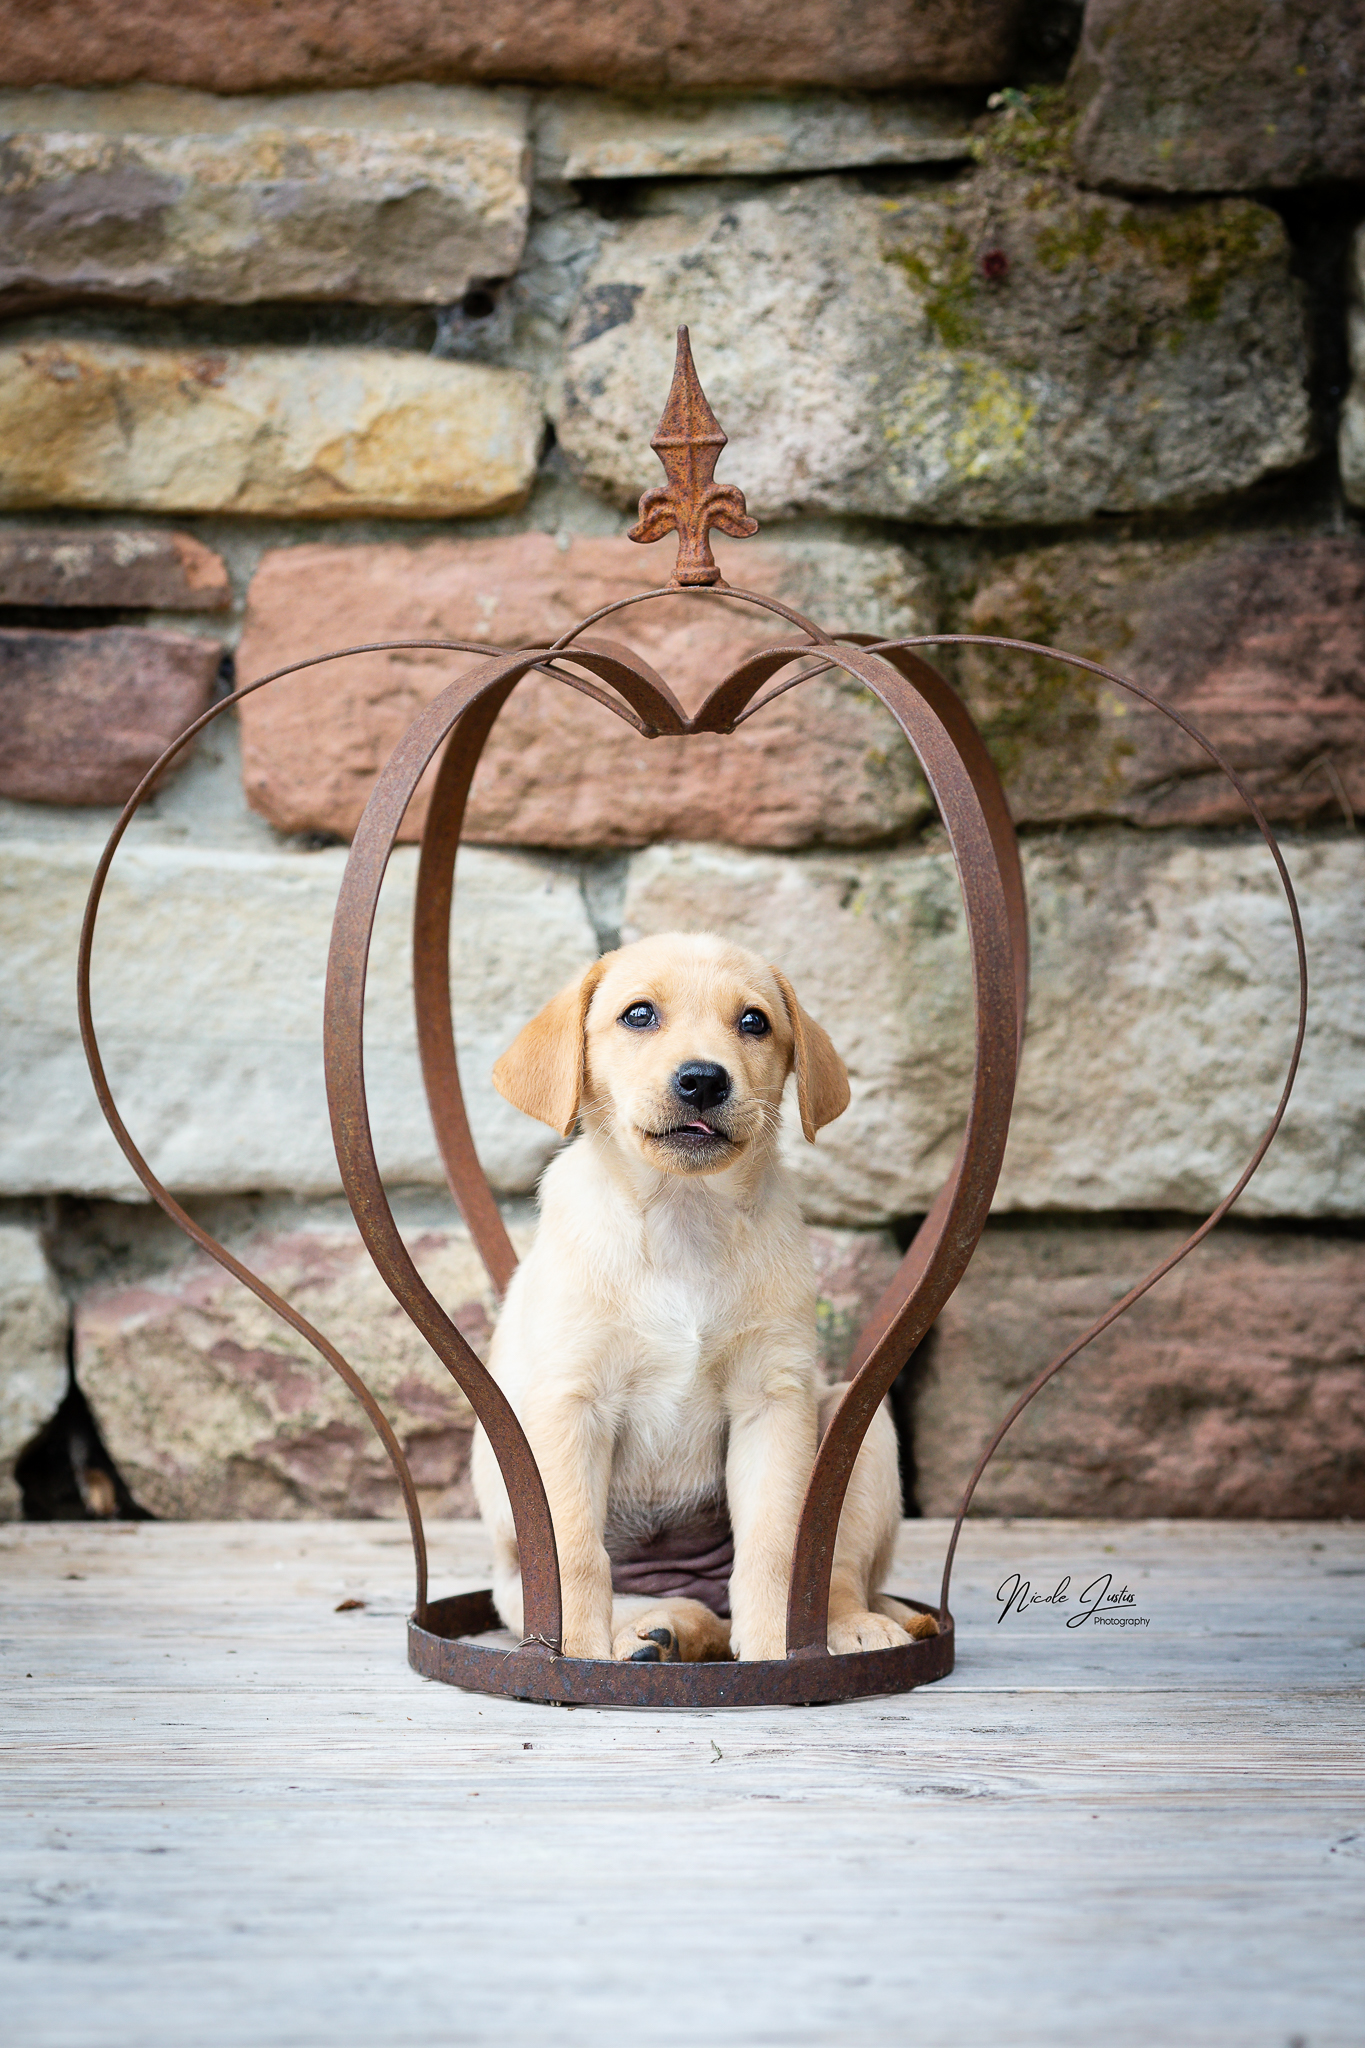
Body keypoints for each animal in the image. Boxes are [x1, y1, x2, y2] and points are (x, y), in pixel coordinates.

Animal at [469, 931, 938, 1663]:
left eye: (754, 1022)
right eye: (638, 1015)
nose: (703, 1079)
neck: (682, 1219)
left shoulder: (769, 1401)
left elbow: (777, 1546)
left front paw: (776, 1650)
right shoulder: (573, 1402)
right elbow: (574, 1554)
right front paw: (575, 1654)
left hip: (858, 1428)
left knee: (833, 1574)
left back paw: (847, 1627)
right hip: (517, 1565)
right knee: (651, 1602)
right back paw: (653, 1633)